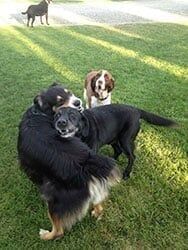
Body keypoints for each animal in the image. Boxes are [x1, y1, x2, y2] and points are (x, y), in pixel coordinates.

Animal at [17, 84, 120, 240]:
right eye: (59, 101)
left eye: (69, 93)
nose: (77, 102)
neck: (38, 112)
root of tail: (85, 164)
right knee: (99, 203)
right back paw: (97, 213)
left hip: (54, 202)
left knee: (59, 231)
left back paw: (46, 235)